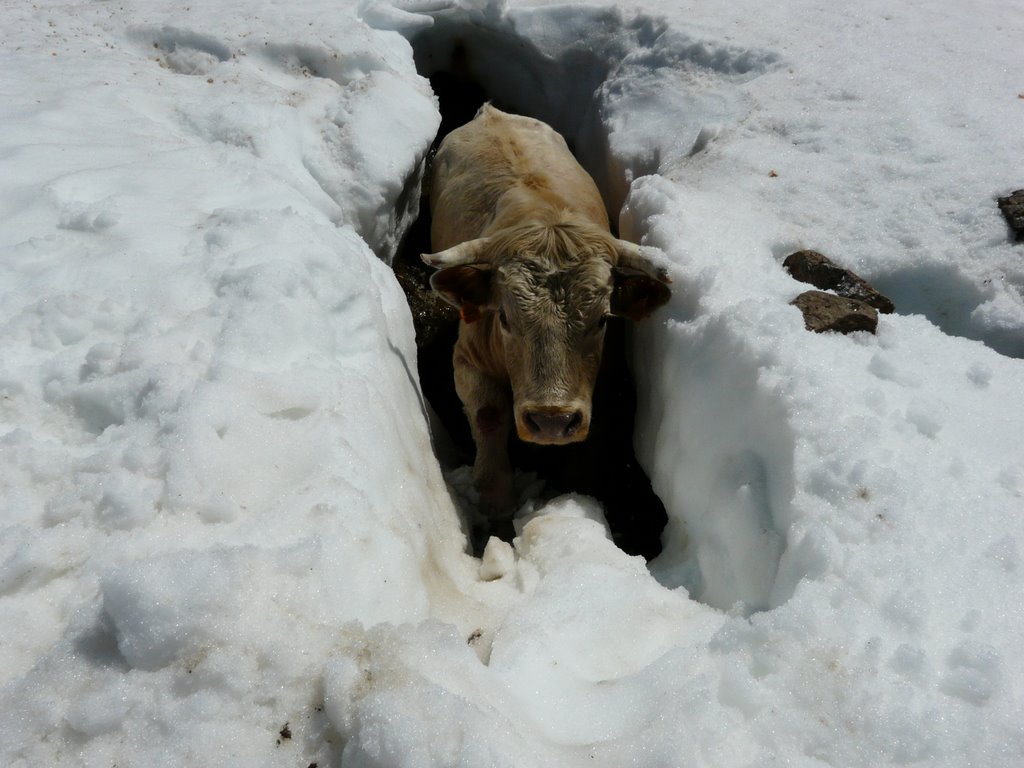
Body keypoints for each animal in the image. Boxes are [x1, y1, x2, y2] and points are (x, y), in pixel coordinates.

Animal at [419, 105, 667, 514]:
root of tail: (491, 111)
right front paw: (496, 500)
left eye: (603, 320)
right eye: (504, 318)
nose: (551, 421)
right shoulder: (467, 358)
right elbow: (489, 414)